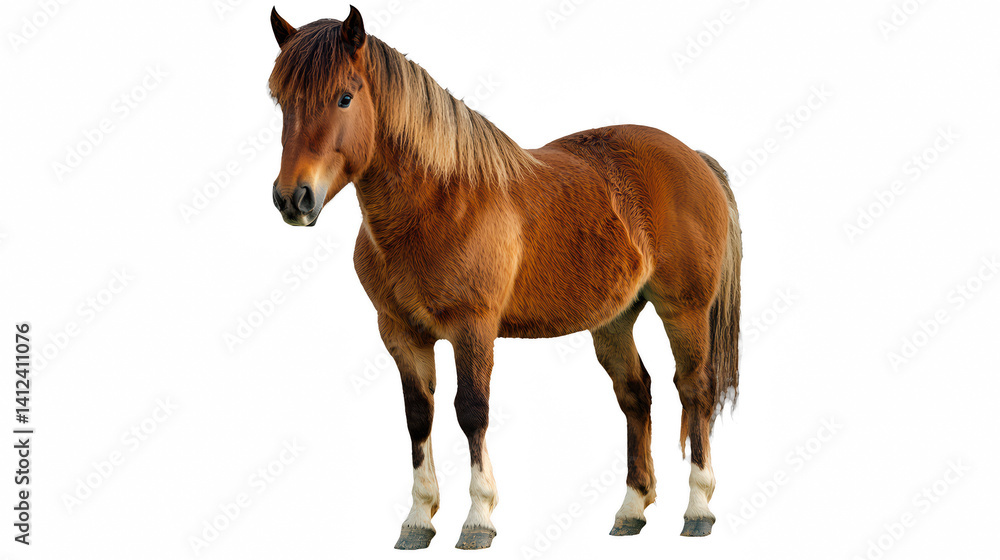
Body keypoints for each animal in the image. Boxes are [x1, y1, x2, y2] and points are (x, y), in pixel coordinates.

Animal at [267, 6, 742, 550]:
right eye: (281, 100)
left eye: (345, 97)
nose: (293, 198)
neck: (437, 202)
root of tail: (693, 158)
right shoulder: (401, 334)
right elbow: (418, 416)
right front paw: (418, 519)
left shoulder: (473, 328)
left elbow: (471, 410)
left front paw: (478, 519)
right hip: (615, 319)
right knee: (635, 394)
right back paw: (631, 509)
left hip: (684, 311)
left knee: (694, 389)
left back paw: (699, 509)